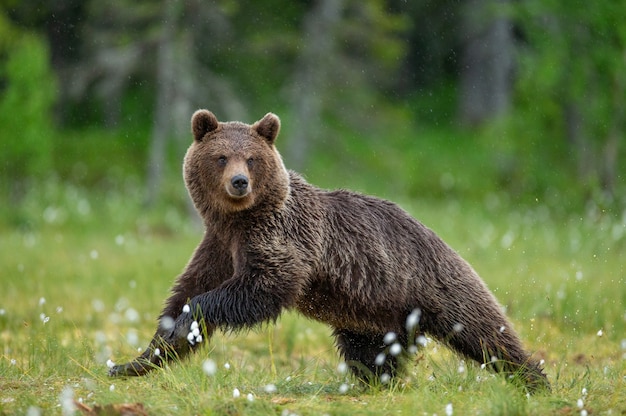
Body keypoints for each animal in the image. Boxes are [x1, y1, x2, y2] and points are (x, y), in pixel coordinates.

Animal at [109, 109, 548, 390]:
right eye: (220, 157)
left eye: (250, 158)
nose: (239, 182)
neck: (239, 220)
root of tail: (439, 238)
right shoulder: (218, 245)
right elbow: (183, 292)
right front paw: (134, 361)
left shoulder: (280, 239)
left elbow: (261, 285)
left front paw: (188, 319)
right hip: (375, 313)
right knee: (370, 352)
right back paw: (374, 383)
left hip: (434, 283)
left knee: (484, 332)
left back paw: (534, 378)